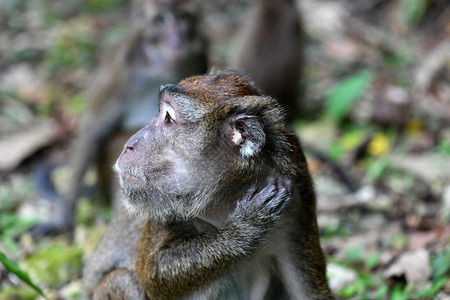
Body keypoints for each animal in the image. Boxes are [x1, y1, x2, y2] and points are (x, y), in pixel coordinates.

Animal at [31, 0, 207, 236]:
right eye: (161, 20)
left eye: (183, 18)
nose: (177, 39)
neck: (160, 63)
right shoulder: (121, 75)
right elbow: (94, 130)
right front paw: (61, 219)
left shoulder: (200, 56)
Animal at [87, 69, 334, 298]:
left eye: (168, 118)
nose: (129, 144)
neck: (229, 195)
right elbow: (153, 273)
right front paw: (242, 230)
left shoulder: (298, 201)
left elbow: (310, 293)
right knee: (121, 281)